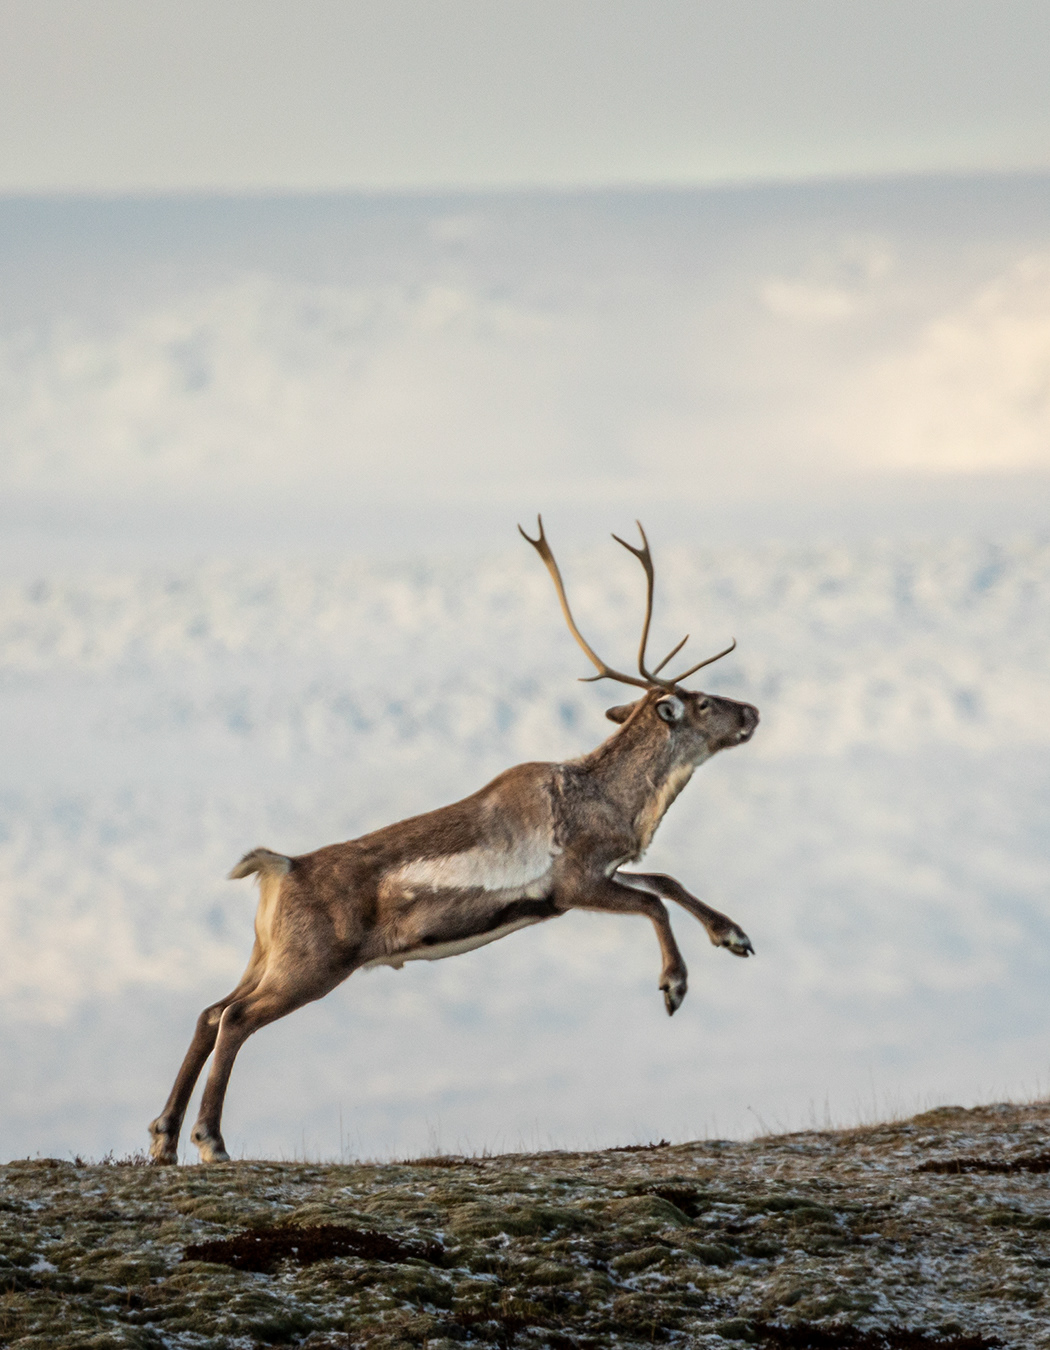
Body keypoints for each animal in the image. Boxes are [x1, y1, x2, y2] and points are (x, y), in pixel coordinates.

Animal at [148, 519, 759, 1164]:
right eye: (703, 702)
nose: (753, 712)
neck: (612, 798)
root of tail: (279, 866)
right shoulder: (574, 884)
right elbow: (653, 902)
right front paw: (674, 986)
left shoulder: (603, 871)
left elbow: (665, 879)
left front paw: (735, 937)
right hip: (311, 965)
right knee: (236, 1018)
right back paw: (210, 1141)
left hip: (266, 954)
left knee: (210, 1011)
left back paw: (164, 1138)